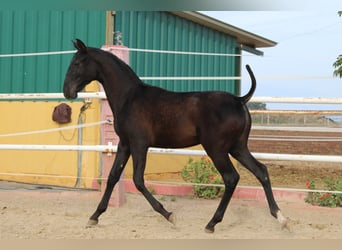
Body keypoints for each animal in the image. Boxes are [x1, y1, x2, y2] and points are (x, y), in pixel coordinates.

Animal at [62, 38, 288, 232]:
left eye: (77, 63)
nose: (67, 92)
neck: (130, 98)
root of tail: (239, 100)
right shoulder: (124, 144)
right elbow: (112, 177)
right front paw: (94, 217)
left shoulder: (139, 144)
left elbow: (137, 180)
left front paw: (169, 215)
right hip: (238, 147)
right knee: (261, 171)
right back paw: (281, 217)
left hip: (217, 149)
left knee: (231, 178)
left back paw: (212, 223)